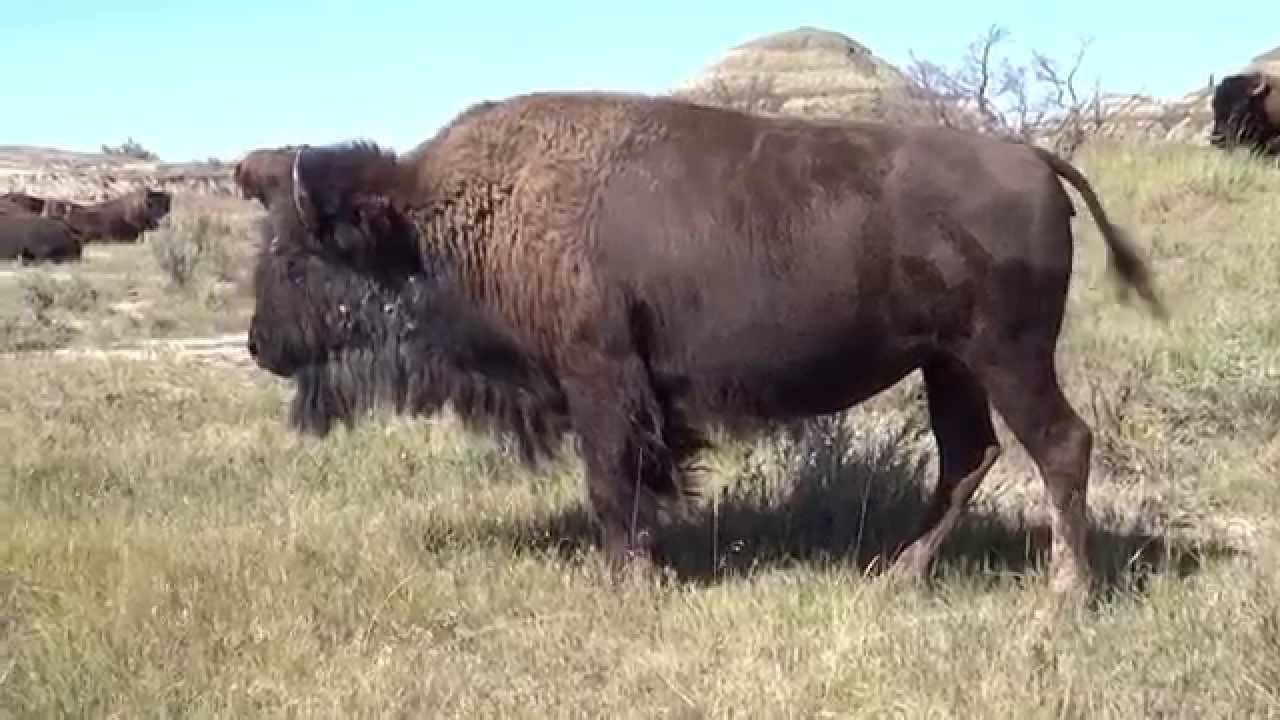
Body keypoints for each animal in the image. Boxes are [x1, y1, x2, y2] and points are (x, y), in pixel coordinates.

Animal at [247, 92, 1166, 605]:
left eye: (294, 256)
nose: (259, 345)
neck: (454, 216)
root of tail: (1032, 157)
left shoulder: (600, 380)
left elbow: (611, 485)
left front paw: (625, 581)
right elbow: (640, 483)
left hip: (1007, 356)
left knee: (1060, 444)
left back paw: (1064, 598)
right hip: (948, 365)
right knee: (967, 455)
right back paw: (897, 574)